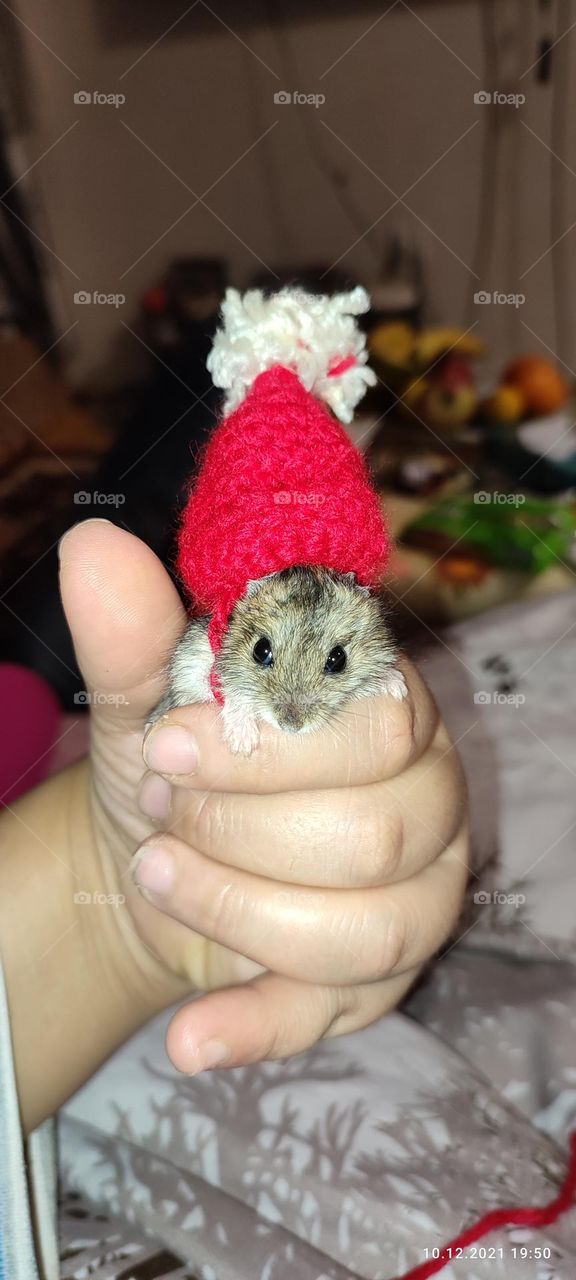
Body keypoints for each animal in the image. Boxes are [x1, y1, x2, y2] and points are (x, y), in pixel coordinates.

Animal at [150, 565, 407, 755]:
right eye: (261, 651)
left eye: (338, 660)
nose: (290, 727)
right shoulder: (190, 664)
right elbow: (230, 689)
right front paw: (243, 745)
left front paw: (397, 687)